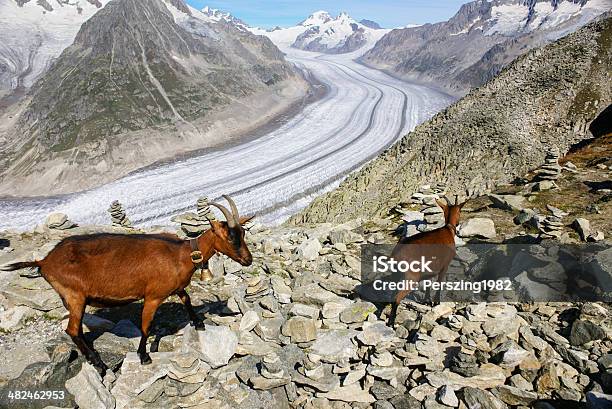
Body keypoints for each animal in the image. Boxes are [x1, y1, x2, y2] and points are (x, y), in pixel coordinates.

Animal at [1, 194, 252, 372]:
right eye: (231, 237)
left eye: (242, 233)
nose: (248, 260)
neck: (182, 254)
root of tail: (44, 261)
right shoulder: (153, 296)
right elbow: (146, 325)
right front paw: (144, 356)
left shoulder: (177, 287)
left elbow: (187, 298)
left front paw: (198, 323)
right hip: (75, 296)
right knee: (72, 330)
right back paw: (99, 364)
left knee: (76, 330)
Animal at [388, 198, 464, 326]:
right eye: (460, 211)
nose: (458, 224)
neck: (447, 229)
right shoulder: (445, 265)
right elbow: (439, 283)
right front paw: (437, 302)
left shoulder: (431, 267)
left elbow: (428, 283)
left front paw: (426, 301)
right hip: (412, 277)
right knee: (396, 298)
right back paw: (391, 324)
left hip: (397, 275)